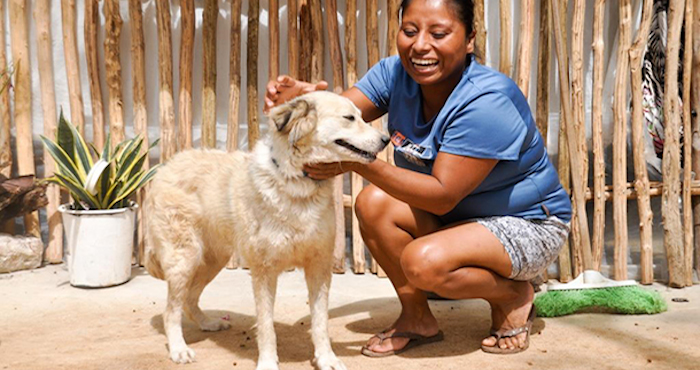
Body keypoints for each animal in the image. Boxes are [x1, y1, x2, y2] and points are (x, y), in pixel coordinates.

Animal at [146, 90, 392, 370]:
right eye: (349, 118)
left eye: (362, 116)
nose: (386, 139)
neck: (298, 182)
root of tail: (166, 165)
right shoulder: (264, 271)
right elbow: (266, 326)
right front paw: (267, 362)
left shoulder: (319, 265)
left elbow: (320, 322)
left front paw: (326, 358)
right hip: (185, 259)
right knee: (171, 310)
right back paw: (179, 349)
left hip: (212, 259)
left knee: (188, 299)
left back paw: (207, 323)